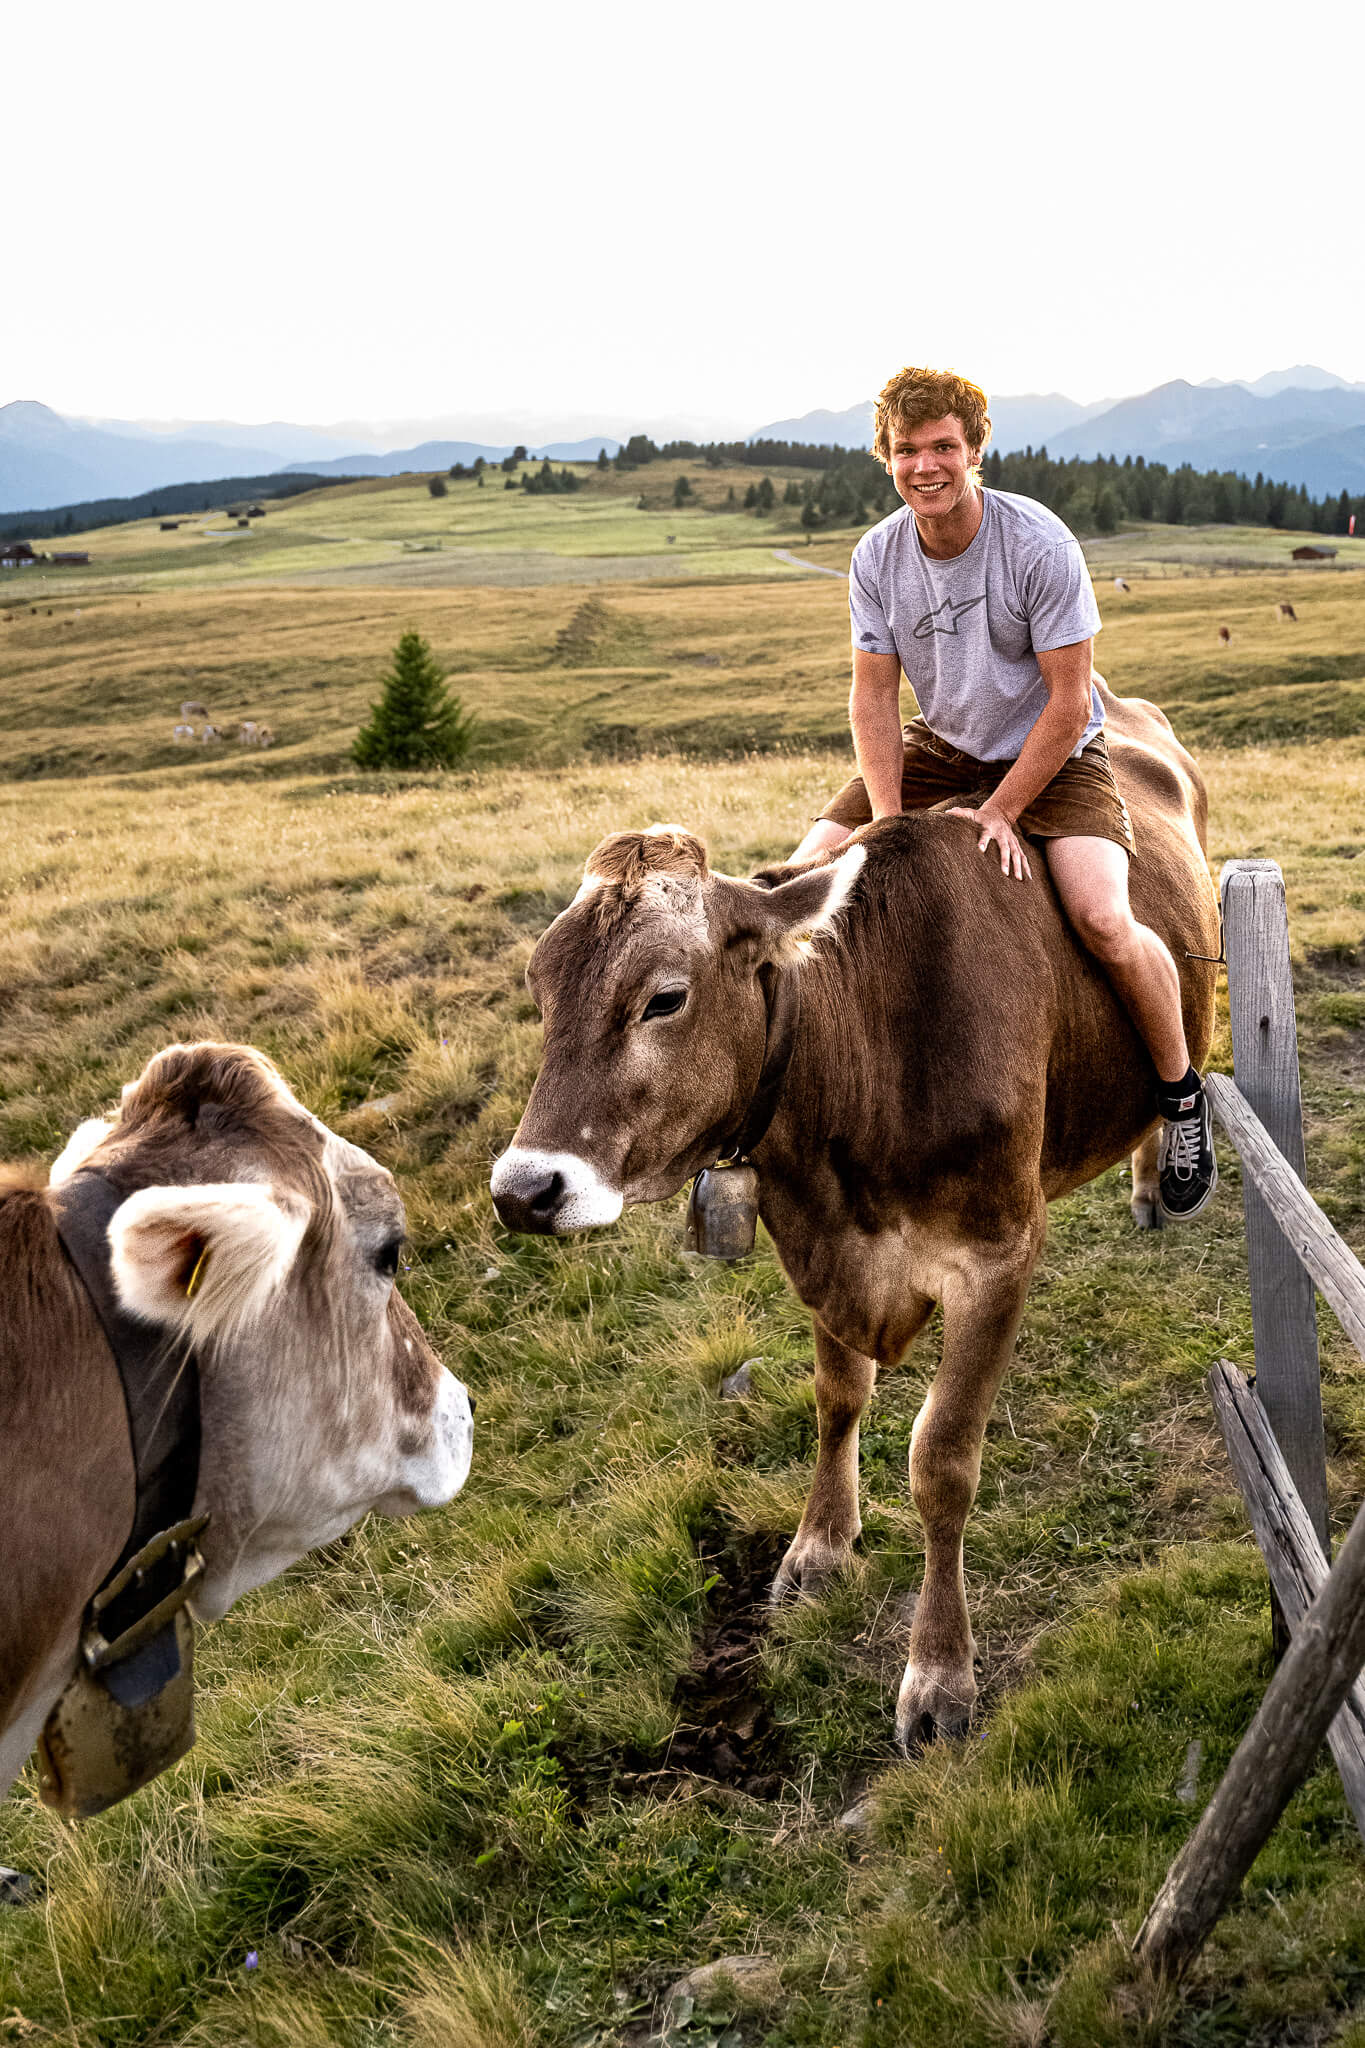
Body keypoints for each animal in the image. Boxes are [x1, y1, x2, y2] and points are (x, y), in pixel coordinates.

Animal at [497, 696, 1219, 1753]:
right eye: (541, 993)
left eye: (663, 997)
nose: (523, 1190)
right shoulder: (813, 1243)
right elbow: (837, 1398)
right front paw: (818, 1547)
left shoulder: (999, 1254)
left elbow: (941, 1459)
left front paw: (939, 1673)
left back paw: (1169, 1163)